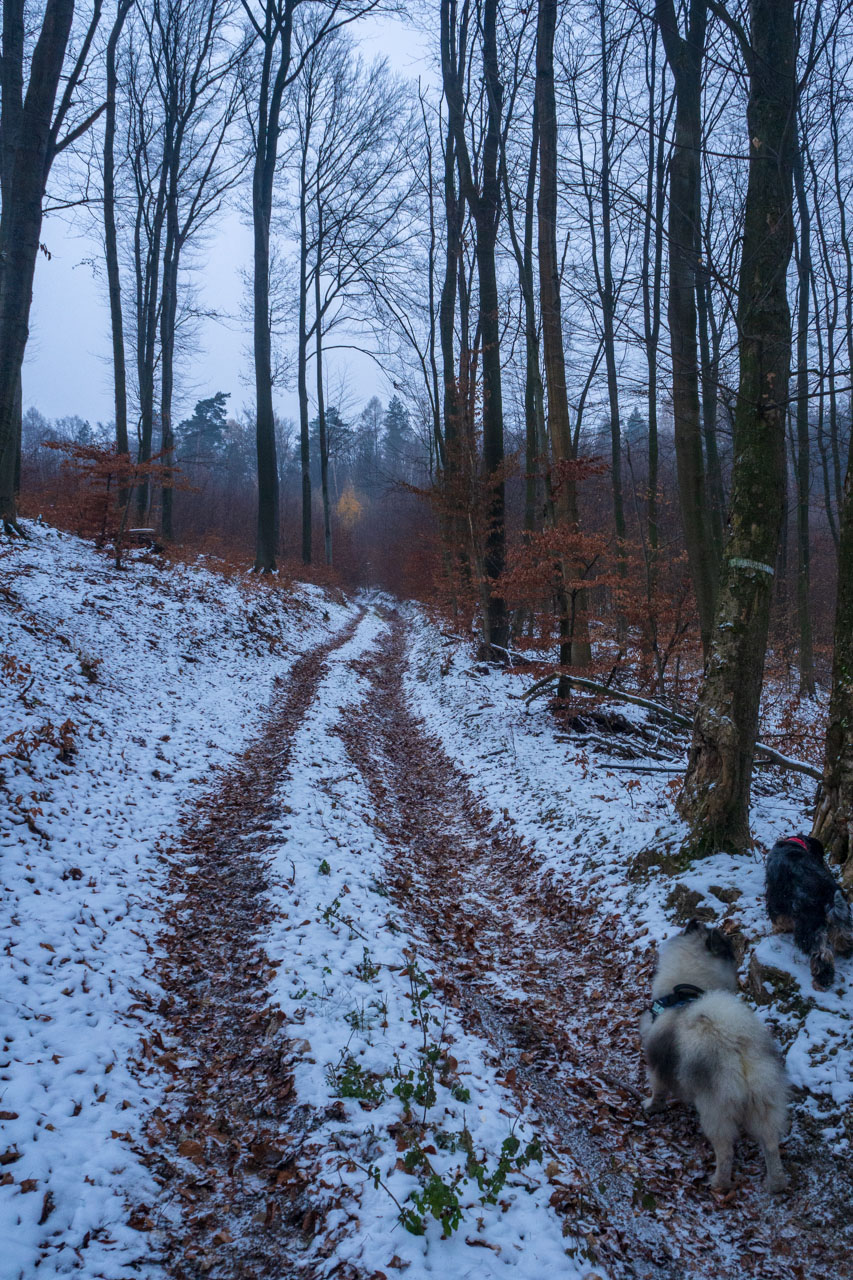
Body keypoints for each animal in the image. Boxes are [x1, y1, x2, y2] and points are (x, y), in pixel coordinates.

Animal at [637, 926, 783, 1192]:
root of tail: (738, 1050)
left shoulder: (656, 1064)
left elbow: (658, 1090)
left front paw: (651, 1106)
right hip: (764, 1105)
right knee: (770, 1145)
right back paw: (776, 1182)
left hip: (716, 1113)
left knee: (725, 1154)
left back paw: (718, 1184)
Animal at [763, 834, 850, 983]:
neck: (795, 843)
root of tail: (826, 890)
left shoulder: (775, 898)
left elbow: (779, 919)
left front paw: (779, 929)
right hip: (839, 912)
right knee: (842, 932)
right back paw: (846, 949)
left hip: (808, 925)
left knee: (820, 953)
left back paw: (824, 976)